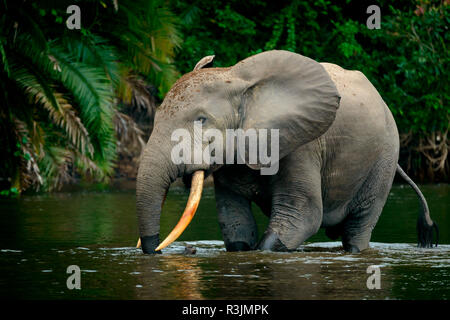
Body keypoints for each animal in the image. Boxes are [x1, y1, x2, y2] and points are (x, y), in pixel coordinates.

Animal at [135, 50, 438, 255]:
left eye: (201, 120)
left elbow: (303, 215)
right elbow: (235, 221)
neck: (236, 77)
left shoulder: (301, 145)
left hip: (384, 156)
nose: (158, 249)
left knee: (358, 229)